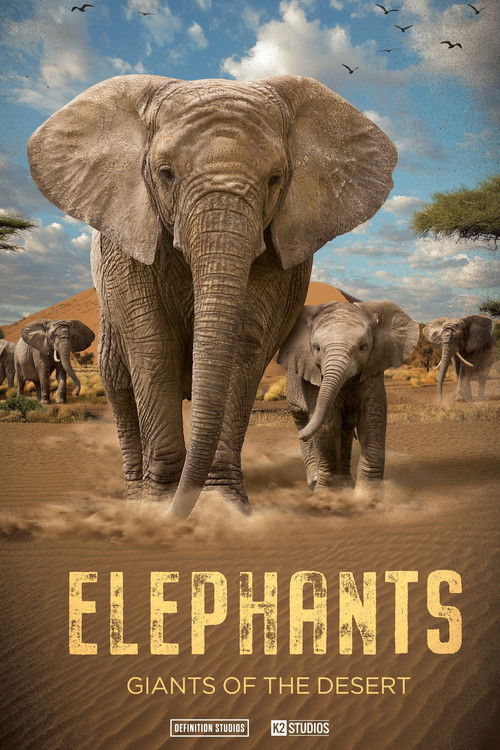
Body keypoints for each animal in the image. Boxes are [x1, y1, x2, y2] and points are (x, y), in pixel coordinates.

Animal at [27, 73, 396, 518]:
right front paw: (159, 504)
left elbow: (244, 345)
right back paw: (135, 494)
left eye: (275, 179)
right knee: (118, 381)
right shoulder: (126, 240)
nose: (177, 513)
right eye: (166, 173)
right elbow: (152, 345)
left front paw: (221, 506)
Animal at [278, 300, 419, 503]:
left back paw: (345, 485)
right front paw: (327, 497)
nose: (300, 436)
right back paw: (315, 481)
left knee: (345, 430)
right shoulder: (313, 377)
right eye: (316, 348)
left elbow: (372, 418)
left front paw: (369, 498)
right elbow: (327, 424)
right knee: (303, 421)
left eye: (363, 347)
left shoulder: (373, 369)